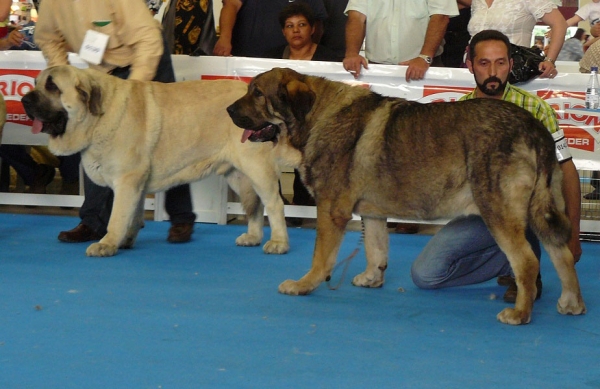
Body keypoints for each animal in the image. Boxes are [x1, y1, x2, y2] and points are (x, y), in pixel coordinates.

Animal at [21, 65, 298, 256]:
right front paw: (126, 240)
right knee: (255, 205)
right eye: (35, 83)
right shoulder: (136, 184)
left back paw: (279, 243)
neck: (97, 116)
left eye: (53, 87)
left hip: (257, 169)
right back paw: (253, 237)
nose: (24, 99)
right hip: (238, 175)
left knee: (274, 204)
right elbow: (132, 215)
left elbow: (117, 217)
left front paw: (107, 244)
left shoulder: (126, 180)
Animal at [229, 67, 584, 324]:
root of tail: (535, 127)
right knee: (562, 254)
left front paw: (304, 284)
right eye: (249, 90)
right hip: (538, 212)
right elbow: (375, 248)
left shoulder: (331, 210)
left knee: (527, 261)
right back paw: (572, 302)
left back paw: (521, 313)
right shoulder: (372, 213)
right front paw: (372, 278)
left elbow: (320, 258)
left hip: (499, 213)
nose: (229, 108)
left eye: (257, 93)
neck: (316, 116)